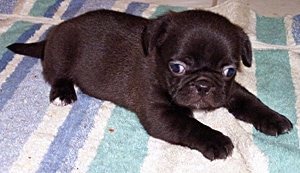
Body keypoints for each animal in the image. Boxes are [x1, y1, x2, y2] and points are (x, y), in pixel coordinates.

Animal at [7, 9, 292, 161]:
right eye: (177, 67)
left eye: (229, 70)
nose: (203, 85)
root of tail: (52, 34)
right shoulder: (161, 114)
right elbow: (191, 125)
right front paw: (216, 140)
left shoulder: (230, 91)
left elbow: (250, 101)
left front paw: (274, 119)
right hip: (61, 53)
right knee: (56, 75)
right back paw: (64, 92)